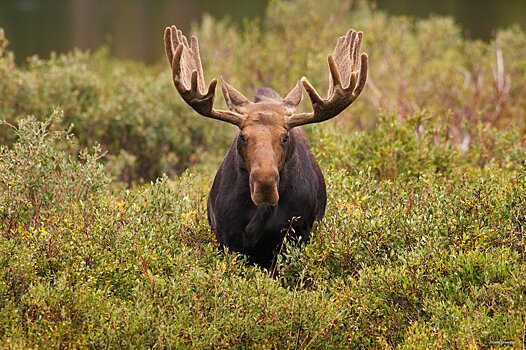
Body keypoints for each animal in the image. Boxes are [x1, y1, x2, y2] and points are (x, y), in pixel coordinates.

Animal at [164, 26, 368, 270]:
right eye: (243, 137)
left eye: (285, 137)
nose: (264, 184)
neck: (260, 218)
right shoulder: (226, 239)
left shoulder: (299, 235)